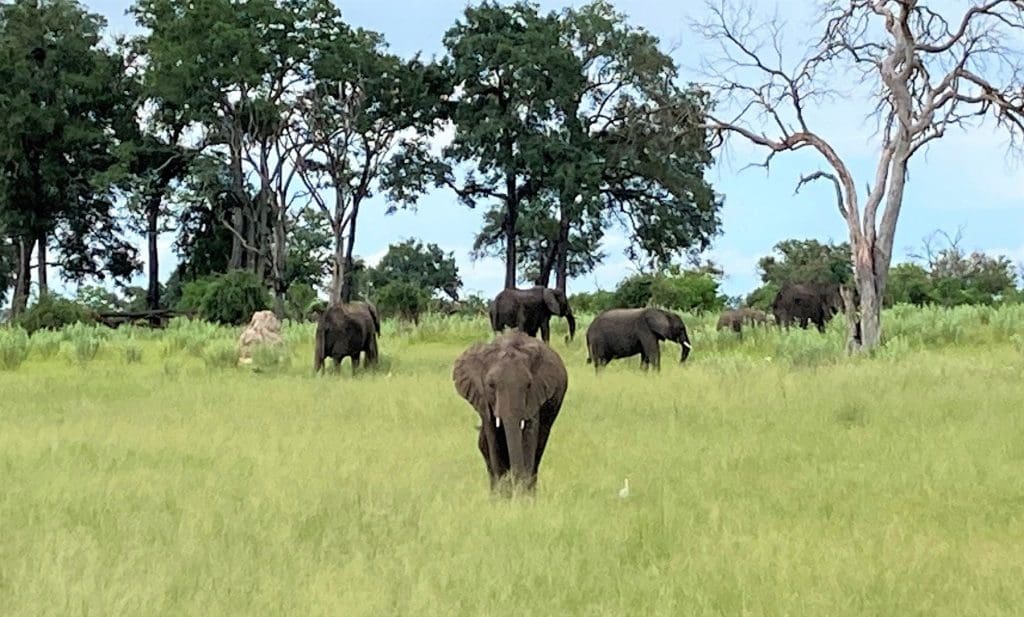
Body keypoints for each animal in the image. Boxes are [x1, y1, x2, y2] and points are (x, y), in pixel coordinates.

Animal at [454, 331, 569, 495]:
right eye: (491, 385)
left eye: (528, 385)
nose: (515, 483)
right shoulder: (484, 401)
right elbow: (493, 440)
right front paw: (503, 496)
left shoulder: (535, 397)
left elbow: (529, 437)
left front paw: (523, 496)